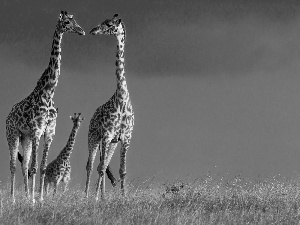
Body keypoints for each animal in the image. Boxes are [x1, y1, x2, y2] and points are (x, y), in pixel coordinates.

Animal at [5, 11, 85, 204]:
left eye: (74, 20)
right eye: (67, 22)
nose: (81, 31)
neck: (48, 93)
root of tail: (8, 115)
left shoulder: (48, 132)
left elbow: (40, 167)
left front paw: (39, 198)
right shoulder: (36, 130)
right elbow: (34, 167)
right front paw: (34, 201)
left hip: (24, 137)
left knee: (24, 165)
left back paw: (27, 195)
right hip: (12, 133)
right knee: (13, 164)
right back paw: (13, 198)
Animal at [85, 14, 135, 200]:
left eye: (108, 24)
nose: (93, 30)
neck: (121, 99)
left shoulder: (125, 138)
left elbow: (122, 170)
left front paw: (123, 197)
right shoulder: (106, 135)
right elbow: (99, 168)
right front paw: (94, 198)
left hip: (111, 142)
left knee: (103, 164)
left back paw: (104, 197)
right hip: (93, 137)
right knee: (91, 165)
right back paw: (87, 196)